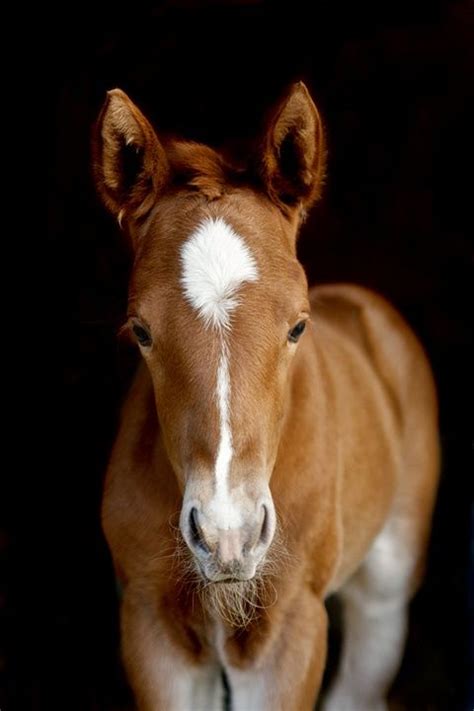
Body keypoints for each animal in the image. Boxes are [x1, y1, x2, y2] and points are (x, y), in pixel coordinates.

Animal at [90, 80, 438, 708]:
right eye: (141, 330)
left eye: (297, 326)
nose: (228, 534)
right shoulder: (151, 627)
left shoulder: (288, 634)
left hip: (386, 590)